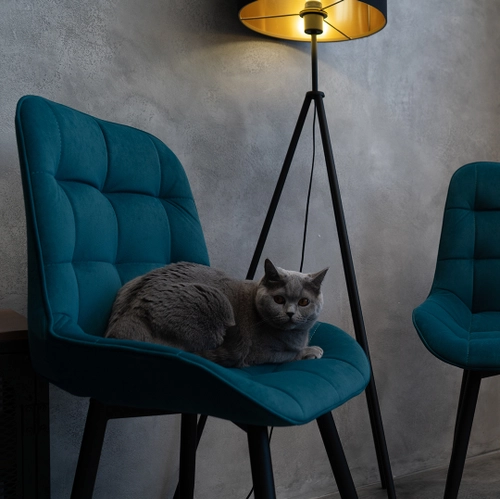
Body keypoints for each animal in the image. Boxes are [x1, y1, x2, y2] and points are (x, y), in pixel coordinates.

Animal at [105, 259, 328, 368]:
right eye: (279, 299)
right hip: (215, 301)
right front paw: (312, 351)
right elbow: (290, 355)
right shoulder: (260, 353)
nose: (290, 313)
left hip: (130, 284)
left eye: (303, 302)